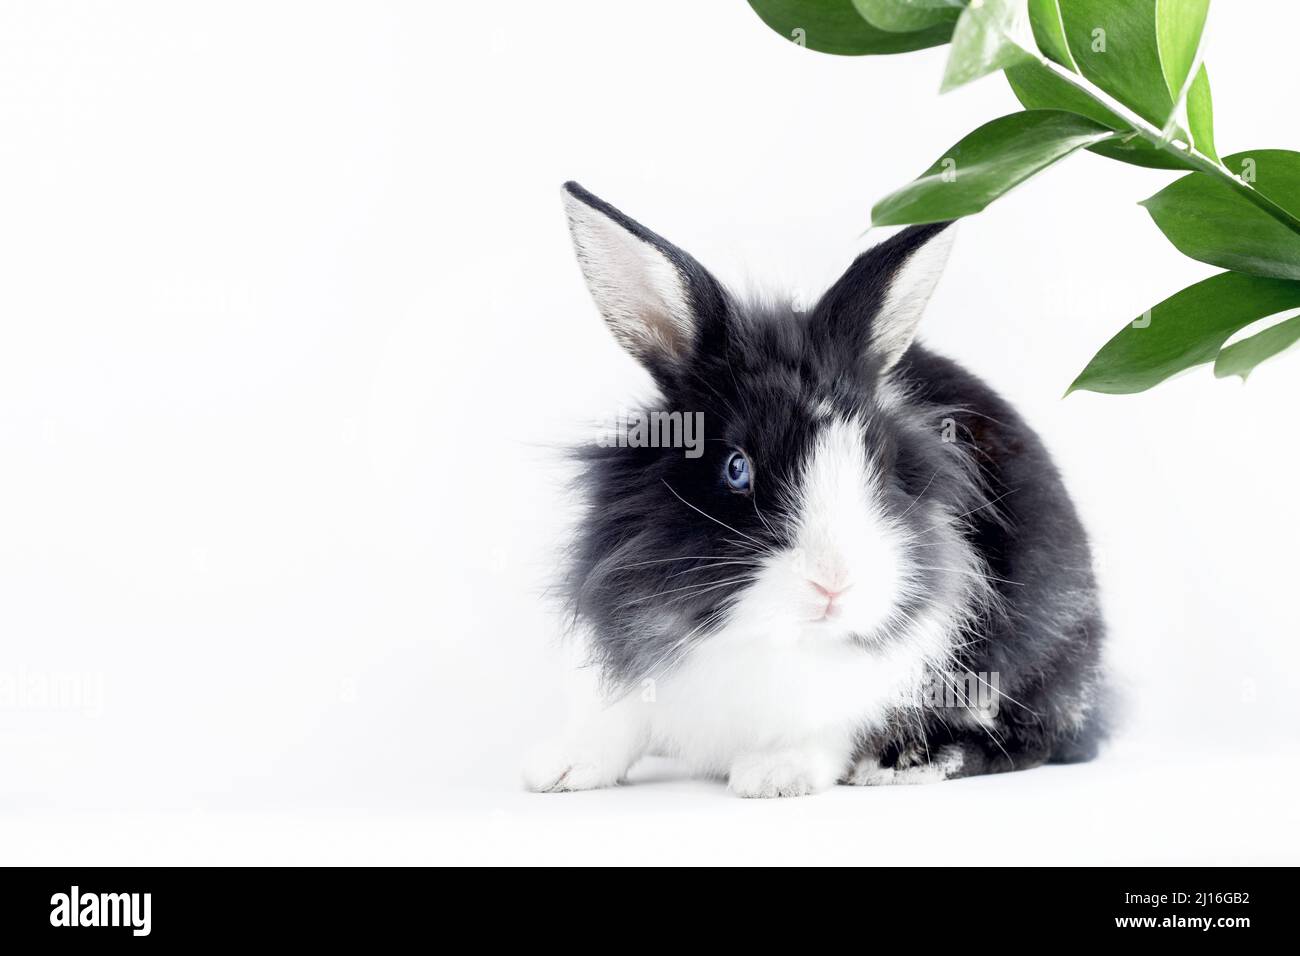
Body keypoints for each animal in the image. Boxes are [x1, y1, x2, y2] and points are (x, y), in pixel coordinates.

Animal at [522, 180, 1112, 801]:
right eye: (737, 468)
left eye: (882, 462)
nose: (833, 584)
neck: (776, 638)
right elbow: (621, 715)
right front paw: (562, 770)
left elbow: (833, 723)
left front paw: (775, 776)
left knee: (1036, 738)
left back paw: (903, 765)